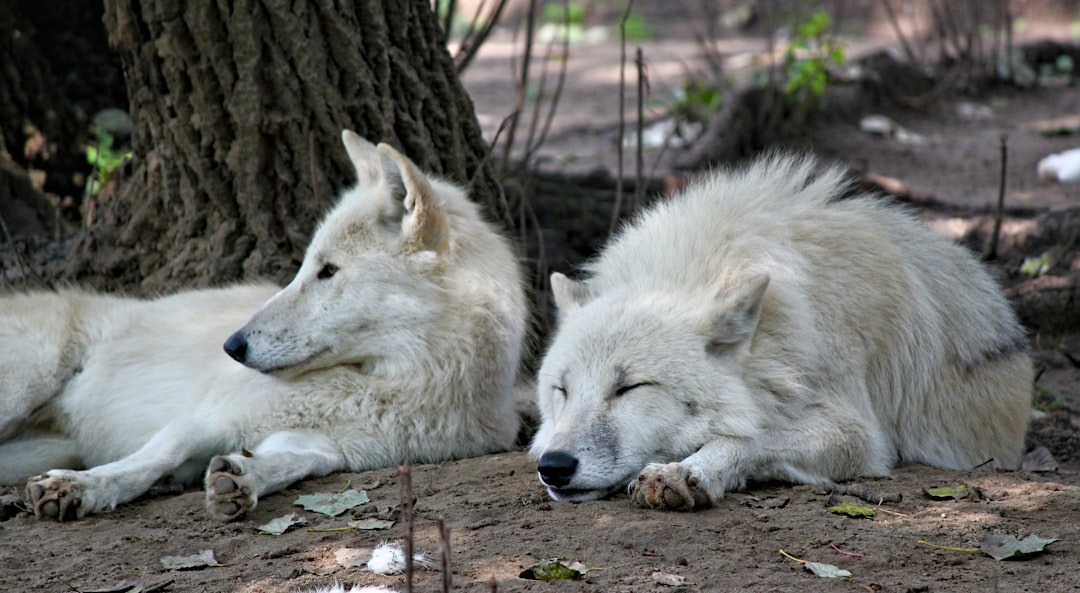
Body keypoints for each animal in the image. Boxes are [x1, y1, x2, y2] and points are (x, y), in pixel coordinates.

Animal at [0, 129, 527, 518]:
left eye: (328, 271)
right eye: (306, 266)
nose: (231, 346)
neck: (393, 382)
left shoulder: (328, 446)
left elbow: (293, 461)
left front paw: (242, 476)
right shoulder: (205, 416)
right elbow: (151, 459)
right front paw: (81, 488)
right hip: (24, 387)